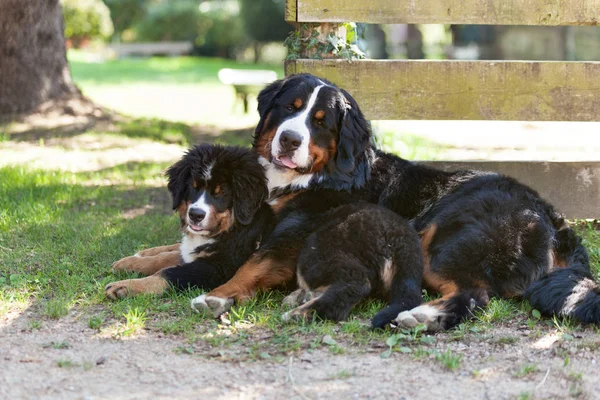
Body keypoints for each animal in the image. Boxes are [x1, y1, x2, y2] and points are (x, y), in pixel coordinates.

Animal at [105, 145, 274, 298]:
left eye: (221, 192)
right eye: (194, 187)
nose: (195, 215)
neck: (231, 230)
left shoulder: (218, 267)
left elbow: (170, 272)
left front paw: (125, 286)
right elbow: (164, 258)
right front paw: (129, 263)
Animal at [193, 73, 600, 330]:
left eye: (320, 122)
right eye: (288, 108)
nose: (290, 140)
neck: (315, 177)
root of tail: (551, 217)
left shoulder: (293, 234)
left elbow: (252, 264)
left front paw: (216, 296)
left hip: (441, 240)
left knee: (474, 294)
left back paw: (422, 317)